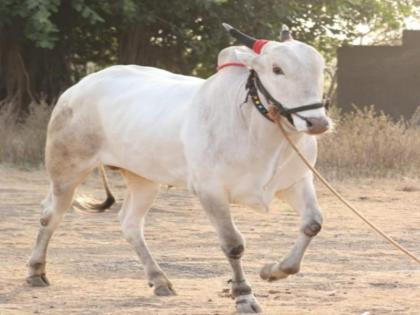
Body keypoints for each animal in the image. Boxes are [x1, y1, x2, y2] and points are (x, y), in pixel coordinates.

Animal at [27, 25, 332, 314]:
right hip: (67, 171)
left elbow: (312, 224)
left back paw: (159, 280)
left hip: (144, 180)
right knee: (50, 215)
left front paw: (273, 271)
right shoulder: (210, 191)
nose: (317, 122)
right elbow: (233, 244)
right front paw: (244, 296)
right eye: (277, 69)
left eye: (320, 68)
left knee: (130, 224)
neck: (255, 128)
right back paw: (35, 271)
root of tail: (78, 87)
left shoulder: (295, 182)